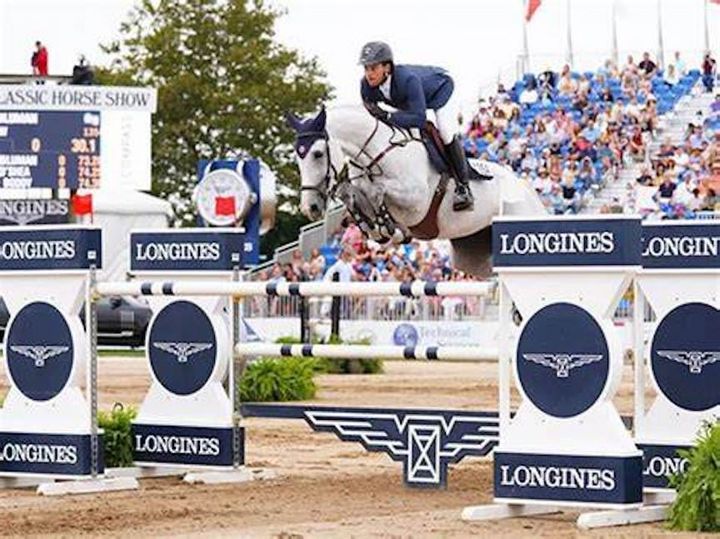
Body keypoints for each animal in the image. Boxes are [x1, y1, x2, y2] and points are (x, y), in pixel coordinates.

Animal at [286, 105, 547, 276]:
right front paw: (377, 227)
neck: (377, 154)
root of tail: (527, 189)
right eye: (297, 157)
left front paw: (389, 227)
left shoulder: (417, 201)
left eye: (318, 154)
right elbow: (353, 198)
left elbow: (378, 191)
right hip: (474, 256)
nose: (310, 207)